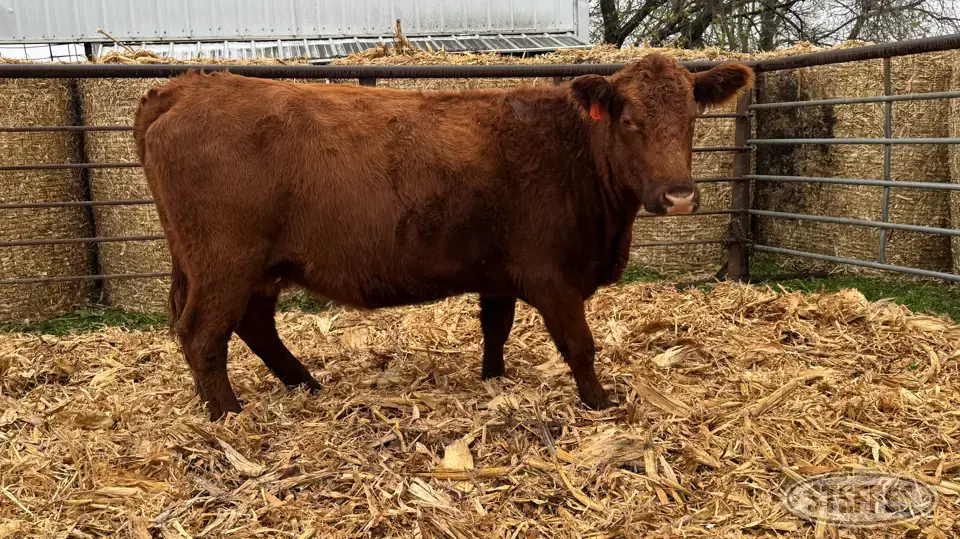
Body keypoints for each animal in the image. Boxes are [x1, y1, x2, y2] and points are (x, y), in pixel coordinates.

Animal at [133, 53, 753, 420]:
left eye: (693, 119)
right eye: (629, 121)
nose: (679, 196)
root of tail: (185, 87)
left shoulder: (500, 273)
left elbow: (496, 328)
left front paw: (494, 379)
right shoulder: (553, 276)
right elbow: (580, 344)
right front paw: (599, 401)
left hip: (253, 265)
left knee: (252, 325)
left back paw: (303, 384)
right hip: (225, 261)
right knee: (203, 334)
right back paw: (228, 414)